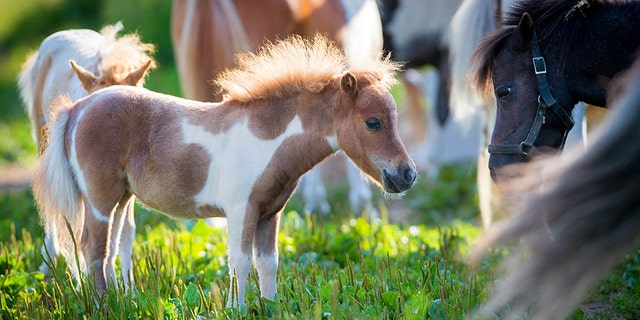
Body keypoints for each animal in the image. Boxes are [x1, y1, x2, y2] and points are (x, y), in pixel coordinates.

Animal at [19, 22, 155, 282]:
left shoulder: (127, 182)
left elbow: (125, 230)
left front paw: (127, 285)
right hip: (46, 146)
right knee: (54, 209)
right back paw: (49, 266)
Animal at [32, 34, 418, 304]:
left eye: (394, 118)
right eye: (373, 123)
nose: (407, 174)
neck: (266, 139)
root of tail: (78, 108)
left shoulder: (270, 214)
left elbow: (268, 263)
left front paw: (268, 306)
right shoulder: (241, 210)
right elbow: (240, 262)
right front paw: (237, 308)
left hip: (122, 198)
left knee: (110, 249)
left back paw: (120, 301)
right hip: (99, 198)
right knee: (92, 249)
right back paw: (103, 305)